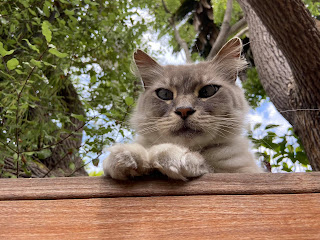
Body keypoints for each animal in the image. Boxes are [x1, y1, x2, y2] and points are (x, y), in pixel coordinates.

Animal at [104, 37, 264, 180]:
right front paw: (127, 158)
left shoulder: (240, 171)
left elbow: (204, 165)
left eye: (208, 91)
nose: (184, 110)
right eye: (165, 94)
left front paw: (169, 156)